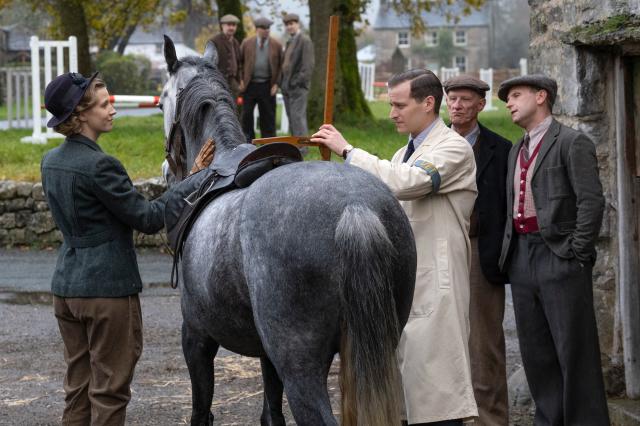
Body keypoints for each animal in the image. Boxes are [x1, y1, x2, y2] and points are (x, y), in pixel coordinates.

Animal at [161, 35, 416, 426]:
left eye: (161, 100)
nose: (166, 169)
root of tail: (355, 208)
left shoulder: (196, 335)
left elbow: (202, 410)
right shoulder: (268, 355)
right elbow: (271, 412)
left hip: (300, 365)